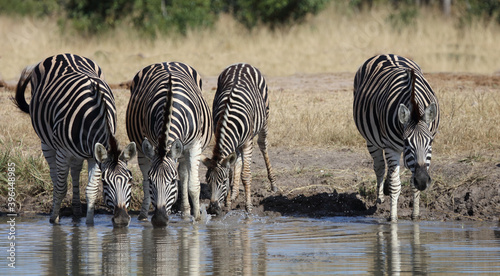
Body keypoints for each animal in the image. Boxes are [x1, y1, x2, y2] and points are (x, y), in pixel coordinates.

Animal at [13, 54, 137, 226]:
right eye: (105, 182)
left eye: (130, 180)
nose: (122, 220)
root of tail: (64, 54)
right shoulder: (64, 152)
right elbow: (61, 188)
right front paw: (54, 220)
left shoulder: (94, 155)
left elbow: (91, 190)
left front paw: (89, 225)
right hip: (47, 143)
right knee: (54, 176)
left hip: (78, 151)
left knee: (75, 170)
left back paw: (77, 212)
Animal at [126, 61, 212, 226]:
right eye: (153, 181)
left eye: (172, 181)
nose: (159, 220)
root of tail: (165, 62)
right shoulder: (153, 145)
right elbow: (147, 181)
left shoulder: (194, 145)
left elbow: (193, 185)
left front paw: (197, 218)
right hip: (141, 148)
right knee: (144, 179)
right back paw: (143, 215)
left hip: (183, 150)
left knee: (183, 175)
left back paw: (186, 212)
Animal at [202, 63, 278, 216]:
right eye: (207, 181)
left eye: (223, 182)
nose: (212, 209)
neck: (228, 116)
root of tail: (241, 64)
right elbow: (231, 168)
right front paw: (228, 203)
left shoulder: (248, 142)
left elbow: (246, 175)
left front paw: (248, 208)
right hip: (238, 142)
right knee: (237, 158)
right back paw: (235, 192)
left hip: (264, 119)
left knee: (263, 145)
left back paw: (273, 184)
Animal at [354, 54, 440, 222]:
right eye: (407, 142)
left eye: (430, 142)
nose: (422, 181)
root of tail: (386, 54)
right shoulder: (391, 147)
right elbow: (395, 185)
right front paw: (393, 218)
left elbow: (412, 184)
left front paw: (415, 215)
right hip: (372, 141)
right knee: (379, 166)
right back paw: (380, 197)